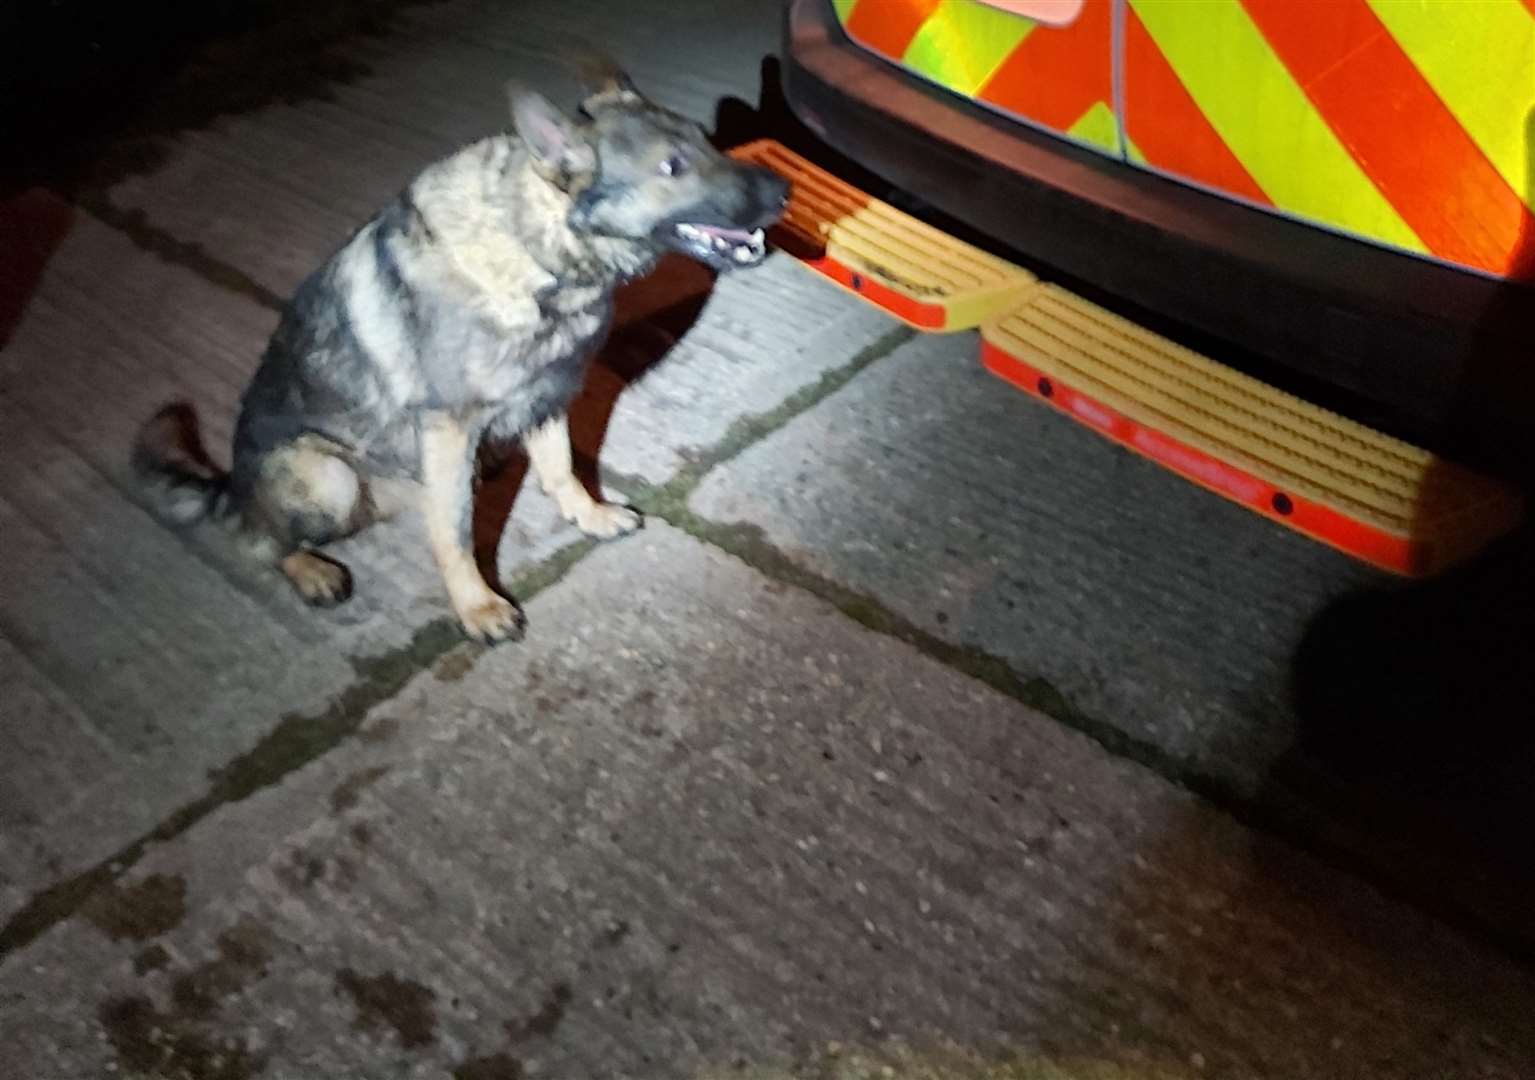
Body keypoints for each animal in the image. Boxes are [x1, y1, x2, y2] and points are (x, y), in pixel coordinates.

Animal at [132, 65, 792, 641]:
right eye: (672, 167)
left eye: (706, 141)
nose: (786, 189)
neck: (535, 248)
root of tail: (233, 483)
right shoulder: (448, 427)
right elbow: (454, 535)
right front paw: (476, 607)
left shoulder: (546, 397)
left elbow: (561, 469)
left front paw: (589, 515)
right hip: (327, 477)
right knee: (260, 537)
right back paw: (308, 568)